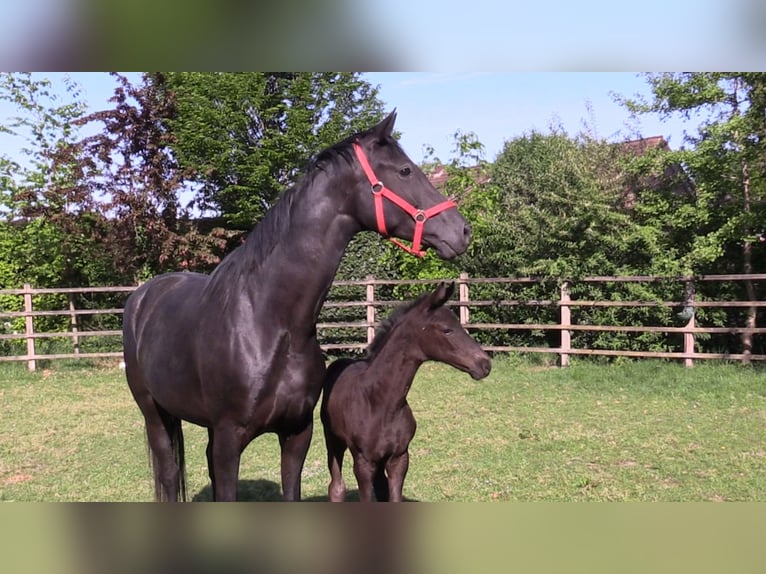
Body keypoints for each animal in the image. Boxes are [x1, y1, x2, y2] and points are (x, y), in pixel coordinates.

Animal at [122, 111, 472, 502]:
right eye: (405, 170)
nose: (462, 230)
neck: (270, 323)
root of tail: (142, 296)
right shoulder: (229, 438)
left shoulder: (297, 433)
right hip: (154, 413)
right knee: (169, 474)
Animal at [320, 282, 492, 502]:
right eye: (447, 330)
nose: (485, 364)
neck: (380, 402)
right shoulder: (363, 462)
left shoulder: (399, 458)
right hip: (333, 440)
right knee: (337, 487)